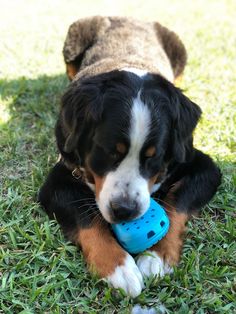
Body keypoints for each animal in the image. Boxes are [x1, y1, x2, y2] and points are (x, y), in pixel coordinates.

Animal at [37, 16, 220, 296]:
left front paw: (157, 256)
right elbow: (86, 218)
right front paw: (118, 267)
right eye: (107, 151)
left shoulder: (203, 166)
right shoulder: (58, 179)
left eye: (153, 157)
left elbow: (177, 203)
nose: (125, 210)